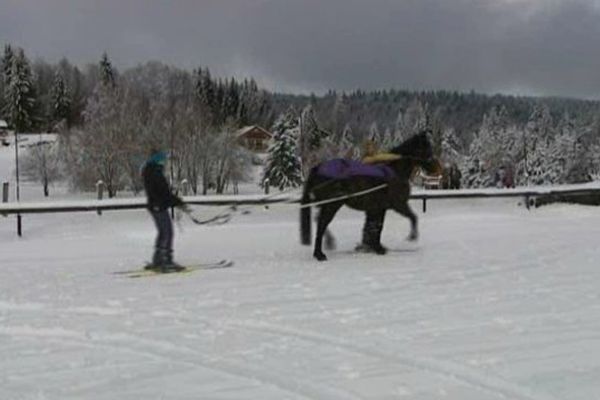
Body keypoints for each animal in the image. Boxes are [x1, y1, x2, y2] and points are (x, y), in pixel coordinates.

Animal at [300, 131, 440, 260]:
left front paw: (374, 247)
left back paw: (327, 245)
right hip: (332, 204)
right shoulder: (398, 204)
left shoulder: (378, 208)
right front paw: (411, 237)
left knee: (319, 221)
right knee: (322, 224)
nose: (435, 168)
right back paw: (319, 254)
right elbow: (412, 217)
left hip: (327, 204)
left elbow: (375, 227)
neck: (393, 171)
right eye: (424, 148)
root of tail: (318, 168)